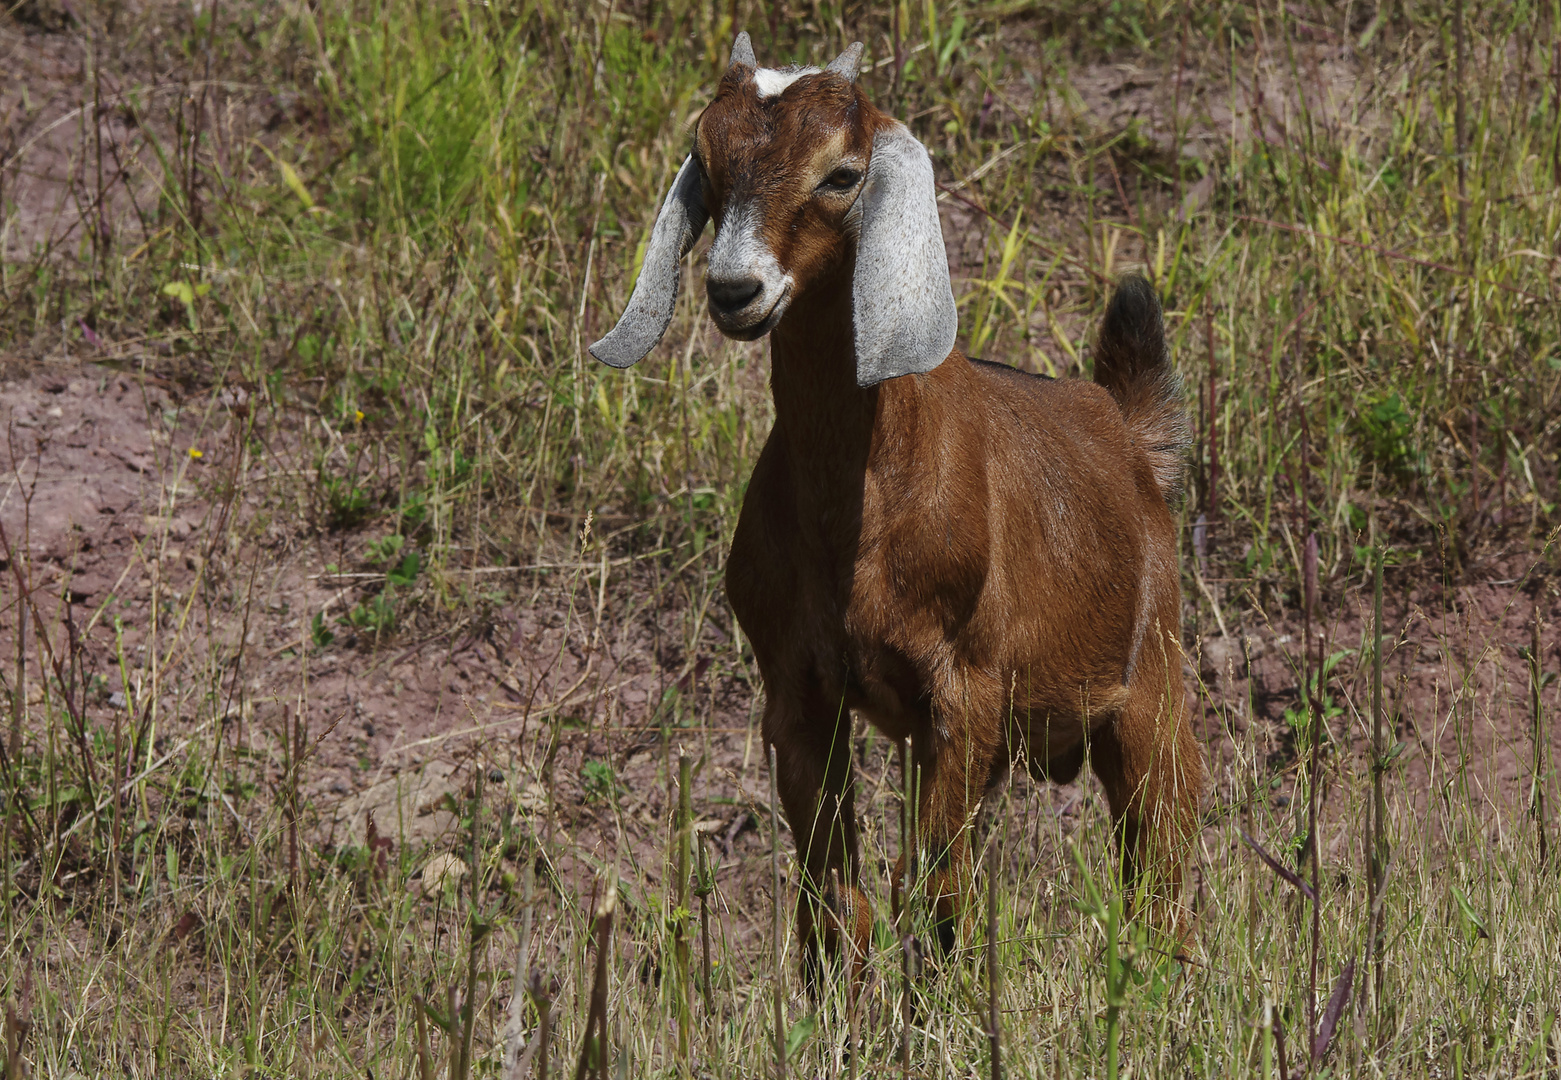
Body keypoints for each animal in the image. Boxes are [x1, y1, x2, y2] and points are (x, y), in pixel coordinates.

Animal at [590, 35, 1198, 986]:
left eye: (842, 172)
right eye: (709, 163)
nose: (733, 290)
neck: (857, 515)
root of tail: (1124, 428)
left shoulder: (966, 689)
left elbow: (935, 890)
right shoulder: (799, 694)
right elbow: (838, 905)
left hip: (1151, 689)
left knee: (1161, 874)